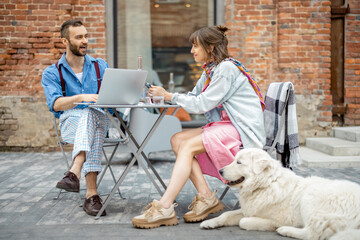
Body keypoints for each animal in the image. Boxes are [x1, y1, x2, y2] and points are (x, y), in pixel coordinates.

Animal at [200, 148, 360, 240]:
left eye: (239, 162)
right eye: (234, 160)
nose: (220, 171)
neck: (265, 184)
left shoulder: (280, 217)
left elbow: (243, 221)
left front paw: (273, 226)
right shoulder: (249, 209)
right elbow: (226, 215)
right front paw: (209, 223)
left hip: (310, 197)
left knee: (313, 234)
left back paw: (285, 230)